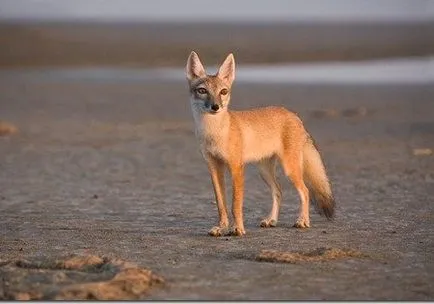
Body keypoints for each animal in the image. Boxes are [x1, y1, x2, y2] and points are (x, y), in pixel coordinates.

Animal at [185, 51, 334, 238]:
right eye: (202, 91)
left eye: (223, 91)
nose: (215, 106)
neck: (214, 133)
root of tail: (293, 114)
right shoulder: (213, 167)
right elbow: (221, 204)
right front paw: (222, 227)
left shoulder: (236, 167)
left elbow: (235, 204)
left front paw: (238, 228)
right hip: (264, 171)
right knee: (278, 191)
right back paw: (272, 220)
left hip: (289, 169)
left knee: (305, 191)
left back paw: (302, 221)